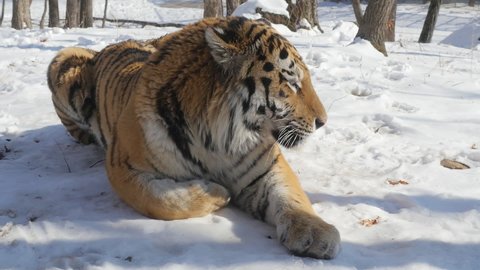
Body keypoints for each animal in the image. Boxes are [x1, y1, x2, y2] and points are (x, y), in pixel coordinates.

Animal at [46, 16, 342, 260]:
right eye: (292, 83)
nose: (323, 121)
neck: (220, 139)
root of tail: (110, 45)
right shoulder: (122, 166)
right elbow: (162, 200)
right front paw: (216, 193)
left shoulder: (266, 166)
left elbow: (290, 197)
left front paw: (316, 233)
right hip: (63, 59)